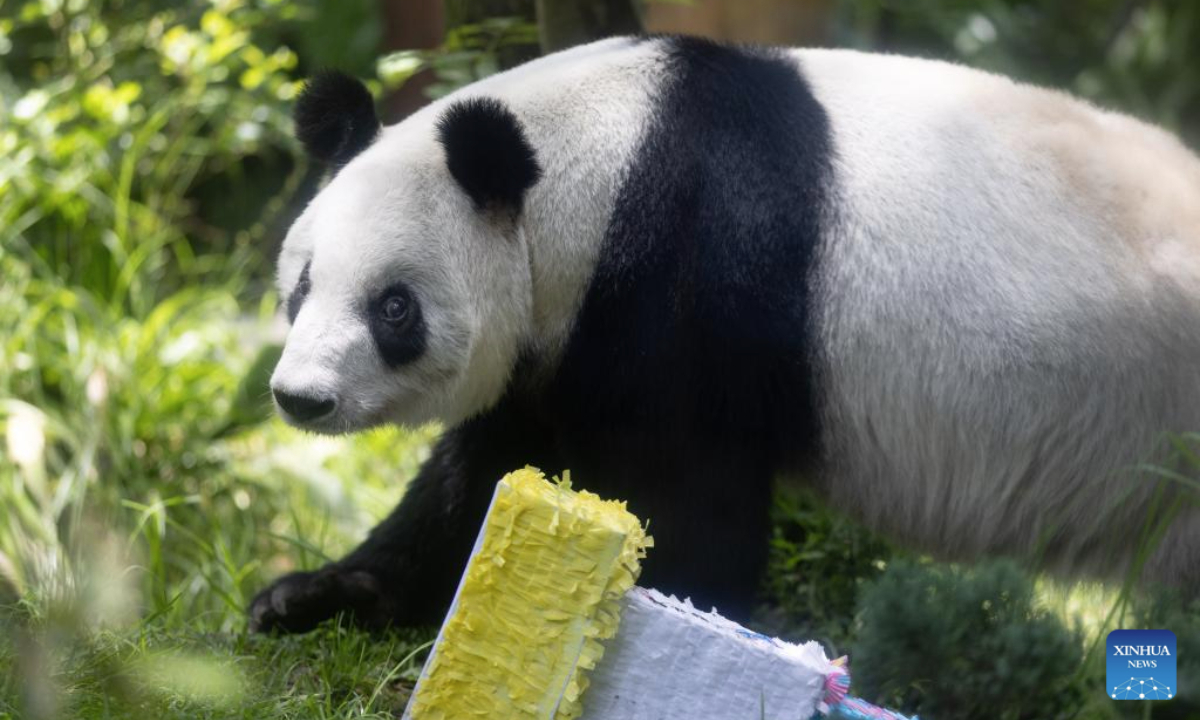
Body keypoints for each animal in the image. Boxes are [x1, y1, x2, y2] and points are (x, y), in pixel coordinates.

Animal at [249, 35, 1200, 634]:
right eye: (302, 284)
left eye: (394, 308)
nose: (301, 399)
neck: (604, 159)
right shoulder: (561, 340)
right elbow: (480, 473)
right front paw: (314, 597)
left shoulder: (690, 279)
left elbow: (687, 498)